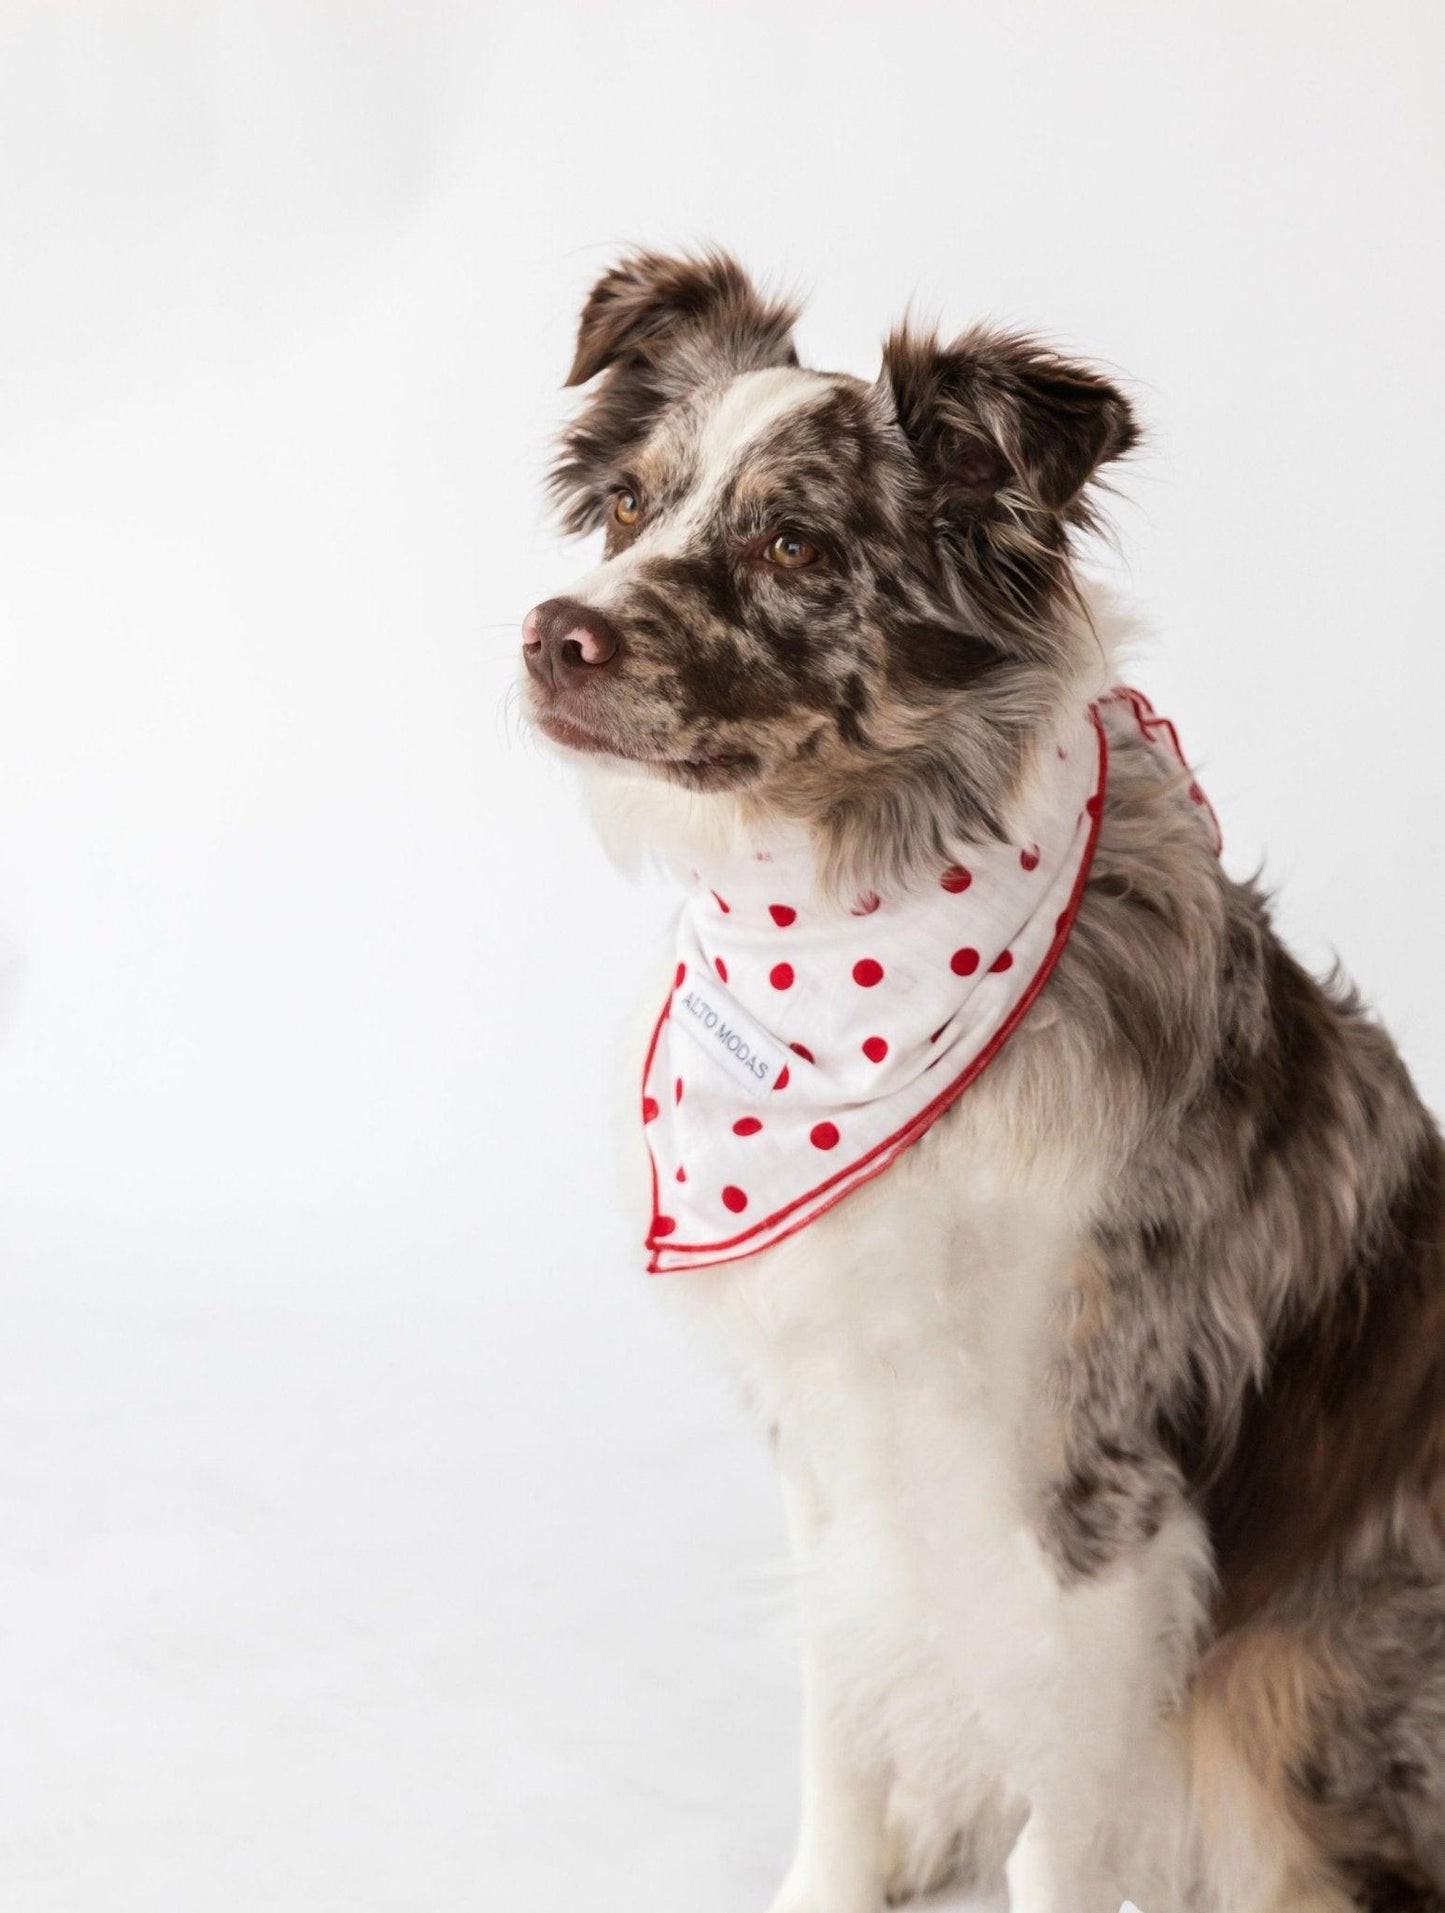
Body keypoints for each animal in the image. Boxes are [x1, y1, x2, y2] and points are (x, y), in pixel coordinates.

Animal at [520, 246, 1445, 1905]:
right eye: (627, 505)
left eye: (795, 540)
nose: (553, 632)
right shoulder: (834, 1439)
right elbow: (844, 1718)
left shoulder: (1093, 1477)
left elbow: (1065, 1820)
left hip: (1295, 1677)